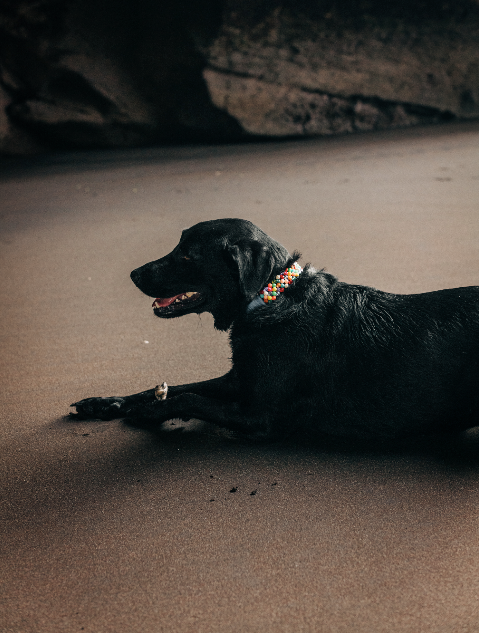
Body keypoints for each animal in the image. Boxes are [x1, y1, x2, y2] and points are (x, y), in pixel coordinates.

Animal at [72, 220, 479, 442]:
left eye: (188, 254)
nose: (133, 274)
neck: (271, 299)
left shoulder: (259, 416)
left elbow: (188, 399)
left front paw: (149, 412)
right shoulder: (238, 379)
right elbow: (175, 387)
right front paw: (107, 403)